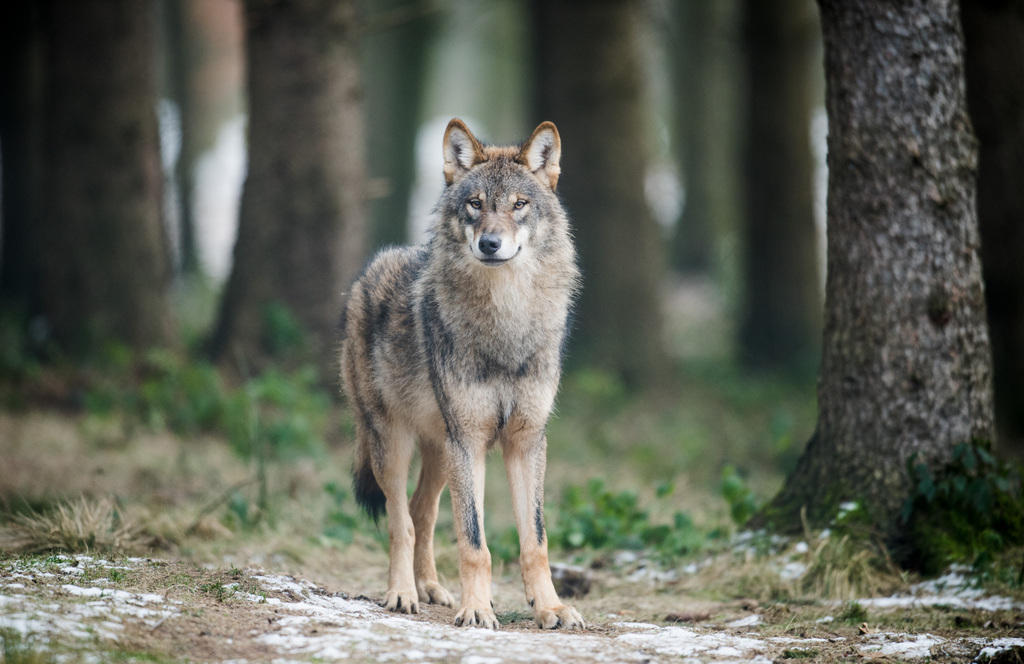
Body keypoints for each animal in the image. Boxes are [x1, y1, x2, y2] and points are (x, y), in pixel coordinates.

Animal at [339, 116, 585, 631]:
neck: (506, 321)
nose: (490, 243)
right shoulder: (469, 440)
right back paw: (402, 593)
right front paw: (477, 609)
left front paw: (549, 608)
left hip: (439, 451)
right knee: (401, 520)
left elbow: (535, 540)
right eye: (476, 204)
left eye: (519, 205)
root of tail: (368, 270)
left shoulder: (526, 441)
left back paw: (431, 588)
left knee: (423, 512)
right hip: (395, 443)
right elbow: (475, 542)